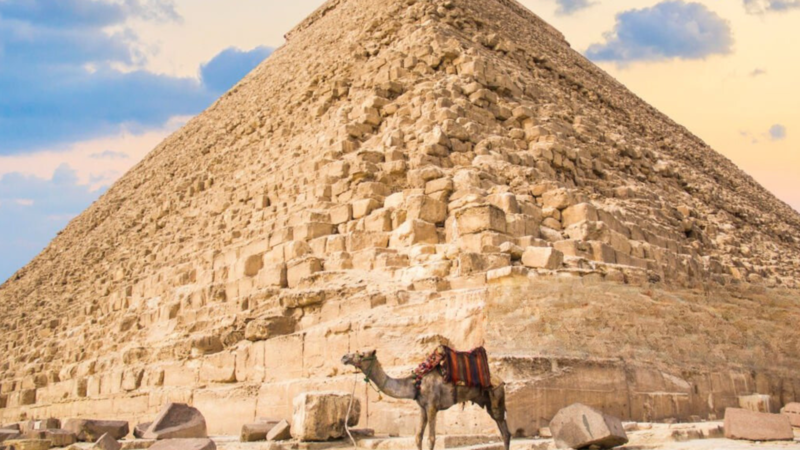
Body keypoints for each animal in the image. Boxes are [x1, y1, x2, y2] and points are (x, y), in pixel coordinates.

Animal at [340, 348, 510, 450]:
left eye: (361, 354)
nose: (344, 357)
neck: (416, 384)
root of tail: (501, 380)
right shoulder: (422, 407)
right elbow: (418, 438)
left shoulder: (432, 406)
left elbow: (431, 439)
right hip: (487, 401)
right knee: (503, 431)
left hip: (496, 396)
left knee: (505, 431)